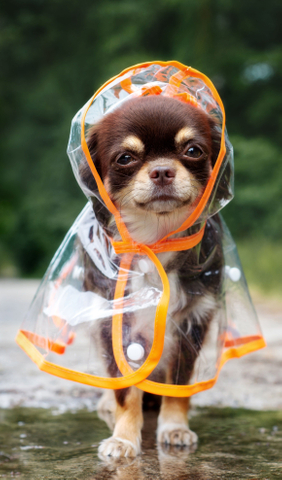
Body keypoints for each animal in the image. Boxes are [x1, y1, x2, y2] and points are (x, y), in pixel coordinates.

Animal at [78, 94, 228, 458]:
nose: (162, 171)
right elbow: (125, 390)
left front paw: (175, 428)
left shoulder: (191, 324)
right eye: (126, 158)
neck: (156, 240)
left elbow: (178, 384)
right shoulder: (116, 324)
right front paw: (123, 438)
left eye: (192, 150)